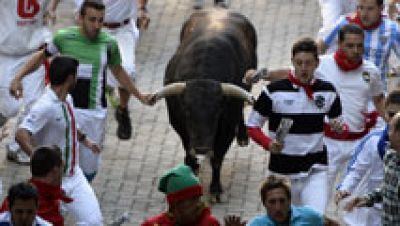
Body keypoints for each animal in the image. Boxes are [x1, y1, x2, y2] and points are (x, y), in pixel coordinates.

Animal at [152, 9, 258, 201]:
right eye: (187, 111)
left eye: (217, 112)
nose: (201, 148)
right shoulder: (178, 123)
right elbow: (188, 150)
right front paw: (192, 168)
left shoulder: (226, 127)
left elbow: (217, 158)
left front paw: (215, 189)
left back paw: (242, 136)